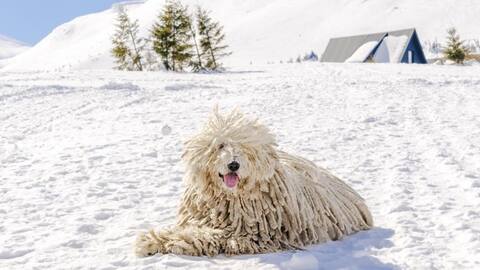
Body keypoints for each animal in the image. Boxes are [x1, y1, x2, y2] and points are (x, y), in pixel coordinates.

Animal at [136, 108, 376, 256]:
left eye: (245, 149)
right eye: (221, 145)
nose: (234, 164)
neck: (230, 198)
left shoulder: (247, 234)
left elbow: (206, 236)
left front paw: (169, 240)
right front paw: (152, 240)